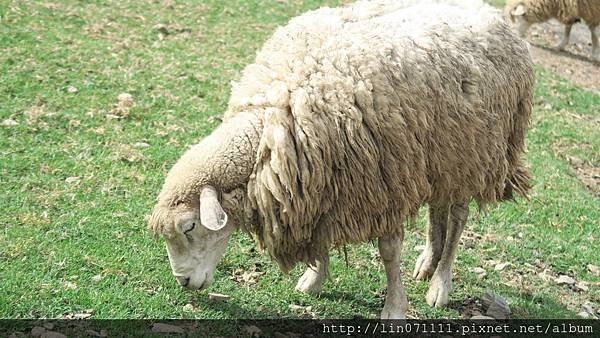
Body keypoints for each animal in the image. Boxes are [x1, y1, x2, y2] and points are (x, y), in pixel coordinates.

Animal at [149, 0, 536, 318]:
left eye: (189, 226)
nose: (183, 282)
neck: (268, 130)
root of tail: (490, 12)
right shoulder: (317, 180)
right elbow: (319, 236)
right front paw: (314, 279)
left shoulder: (383, 184)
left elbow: (388, 251)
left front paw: (394, 308)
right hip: (440, 153)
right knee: (437, 208)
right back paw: (427, 261)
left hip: (474, 154)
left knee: (457, 218)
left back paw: (439, 283)